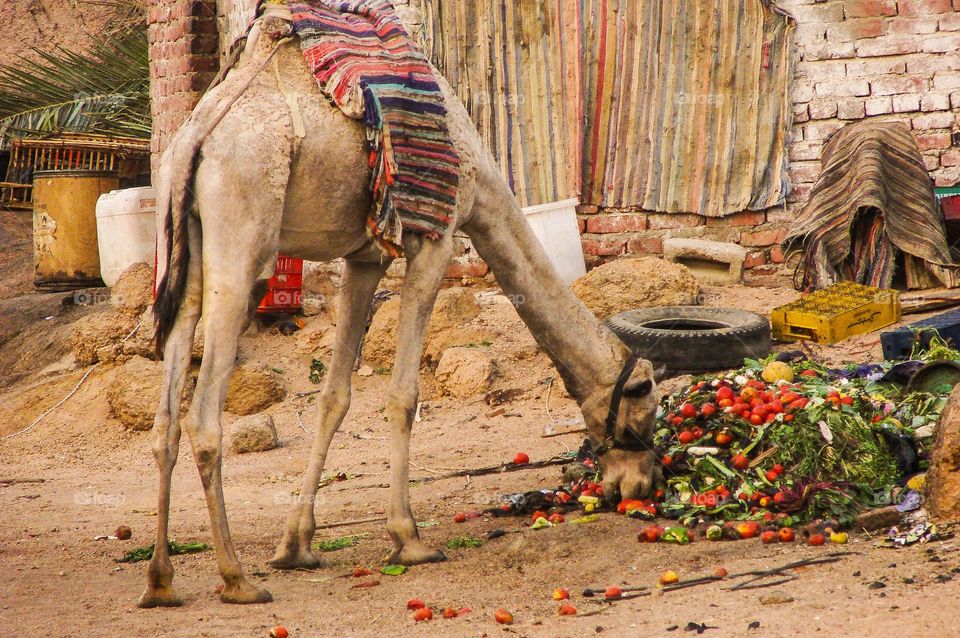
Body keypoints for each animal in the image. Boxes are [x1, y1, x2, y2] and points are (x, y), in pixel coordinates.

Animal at [140, 12, 659, 608]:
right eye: (644, 404)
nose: (640, 483)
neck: (481, 180)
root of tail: (193, 141)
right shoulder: (436, 238)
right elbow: (403, 394)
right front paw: (408, 539)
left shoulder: (364, 258)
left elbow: (335, 397)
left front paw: (296, 545)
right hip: (242, 237)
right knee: (203, 416)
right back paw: (236, 578)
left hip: (181, 252)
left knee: (167, 414)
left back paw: (160, 581)